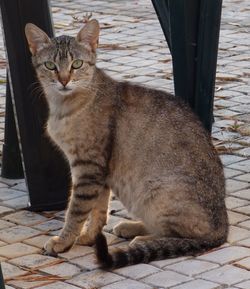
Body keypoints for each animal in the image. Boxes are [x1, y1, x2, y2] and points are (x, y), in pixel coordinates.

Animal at [24, 19, 228, 268]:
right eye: (50, 65)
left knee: (184, 235)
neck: (64, 106)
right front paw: (89, 237)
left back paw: (143, 238)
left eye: (77, 64)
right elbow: (99, 210)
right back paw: (132, 227)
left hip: (155, 192)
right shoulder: (100, 172)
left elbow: (76, 211)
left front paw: (63, 241)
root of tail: (223, 227)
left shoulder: (88, 168)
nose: (64, 80)